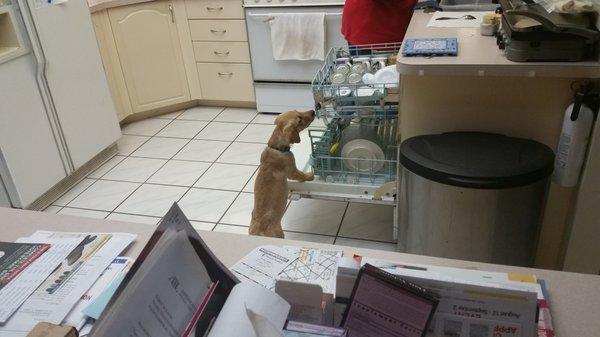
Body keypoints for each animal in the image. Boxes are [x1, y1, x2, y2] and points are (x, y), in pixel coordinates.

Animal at [248, 109, 316, 238]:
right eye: (299, 119)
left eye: (297, 111)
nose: (313, 111)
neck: (276, 148)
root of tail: (259, 230)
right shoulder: (292, 171)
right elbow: (301, 175)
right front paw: (310, 175)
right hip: (280, 233)